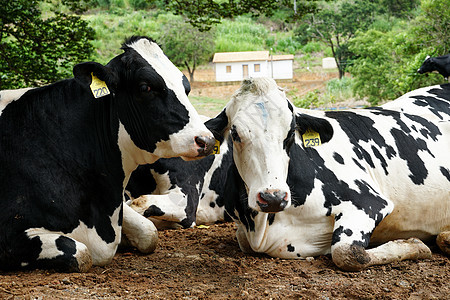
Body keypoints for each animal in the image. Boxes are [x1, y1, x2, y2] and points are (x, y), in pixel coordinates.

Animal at [0, 36, 216, 274]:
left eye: (186, 87)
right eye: (145, 87)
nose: (206, 140)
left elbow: (149, 233)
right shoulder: (10, 235)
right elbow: (81, 253)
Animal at [128, 77, 450, 272]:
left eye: (291, 132)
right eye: (236, 133)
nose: (272, 197)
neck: (262, 225)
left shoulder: (368, 201)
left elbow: (348, 253)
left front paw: (415, 245)